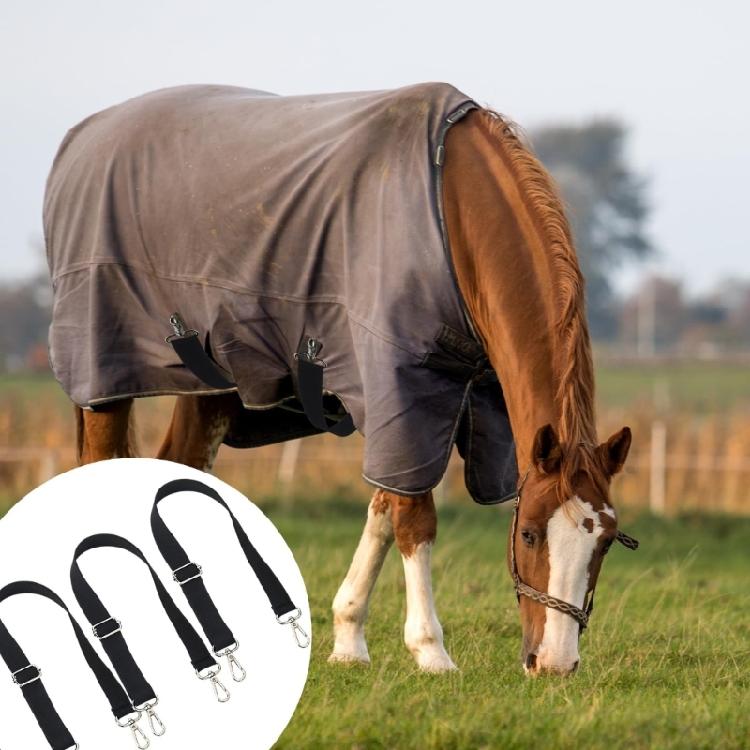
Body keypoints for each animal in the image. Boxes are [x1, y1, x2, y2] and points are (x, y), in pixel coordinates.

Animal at [55, 87, 632, 677]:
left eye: (607, 542)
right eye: (530, 533)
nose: (556, 663)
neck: (451, 215)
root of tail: (85, 135)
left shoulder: (424, 405)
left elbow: (385, 510)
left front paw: (349, 639)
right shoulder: (399, 387)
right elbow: (414, 519)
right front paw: (430, 650)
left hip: (208, 390)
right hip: (105, 381)